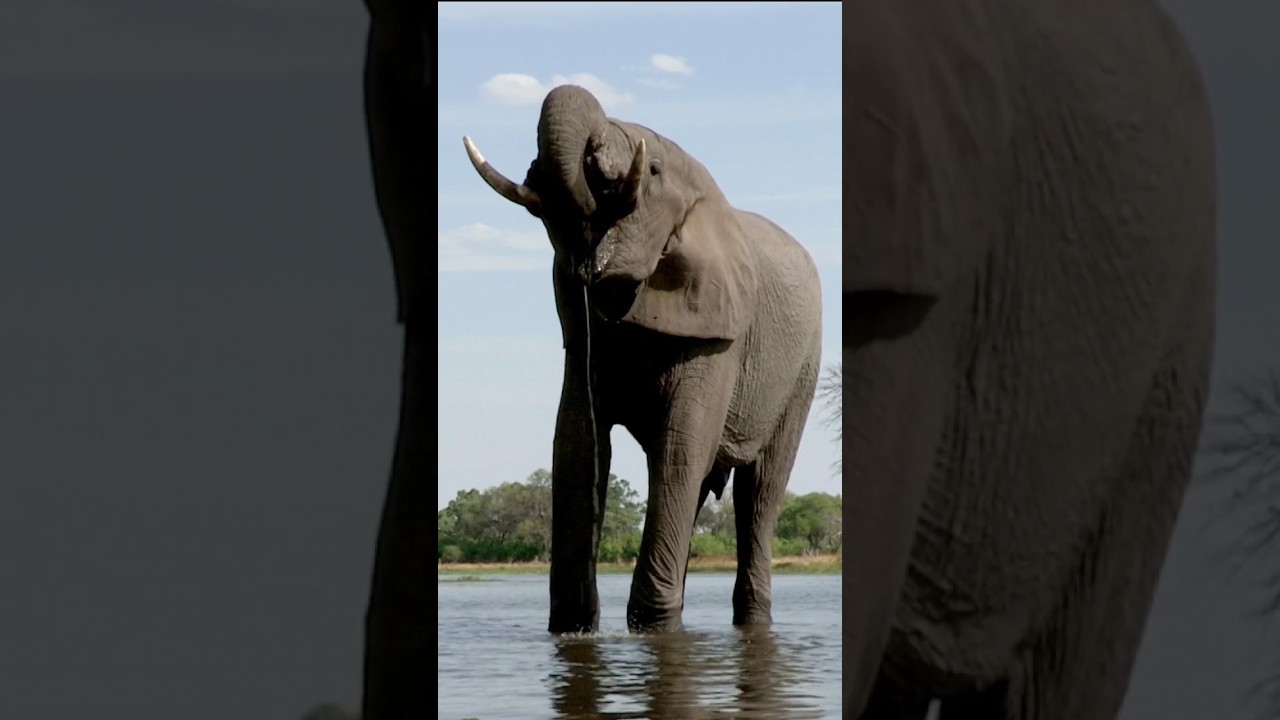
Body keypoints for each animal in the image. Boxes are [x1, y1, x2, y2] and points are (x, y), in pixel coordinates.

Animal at [463, 85, 824, 634]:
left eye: (651, 170)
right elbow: (576, 445)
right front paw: (574, 626)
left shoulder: (720, 331)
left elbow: (681, 446)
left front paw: (650, 626)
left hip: (804, 367)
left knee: (759, 492)